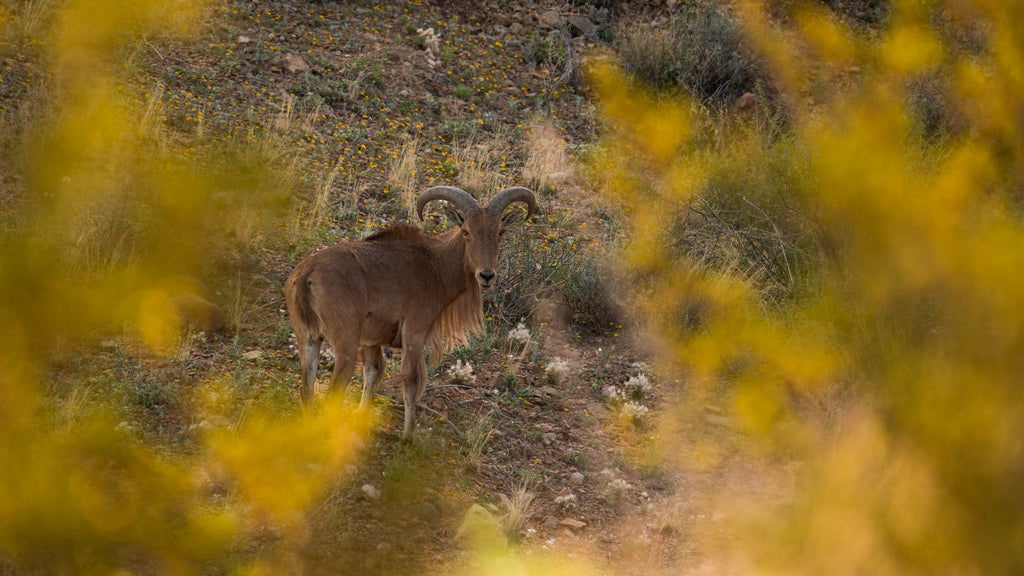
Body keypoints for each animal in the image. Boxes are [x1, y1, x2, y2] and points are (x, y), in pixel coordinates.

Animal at [282, 183, 536, 438]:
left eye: (500, 232)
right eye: (466, 231)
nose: (486, 276)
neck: (436, 265)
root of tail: (306, 275)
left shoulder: (372, 340)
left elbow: (373, 372)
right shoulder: (415, 332)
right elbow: (411, 381)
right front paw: (408, 436)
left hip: (308, 338)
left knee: (306, 389)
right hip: (345, 343)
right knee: (332, 392)